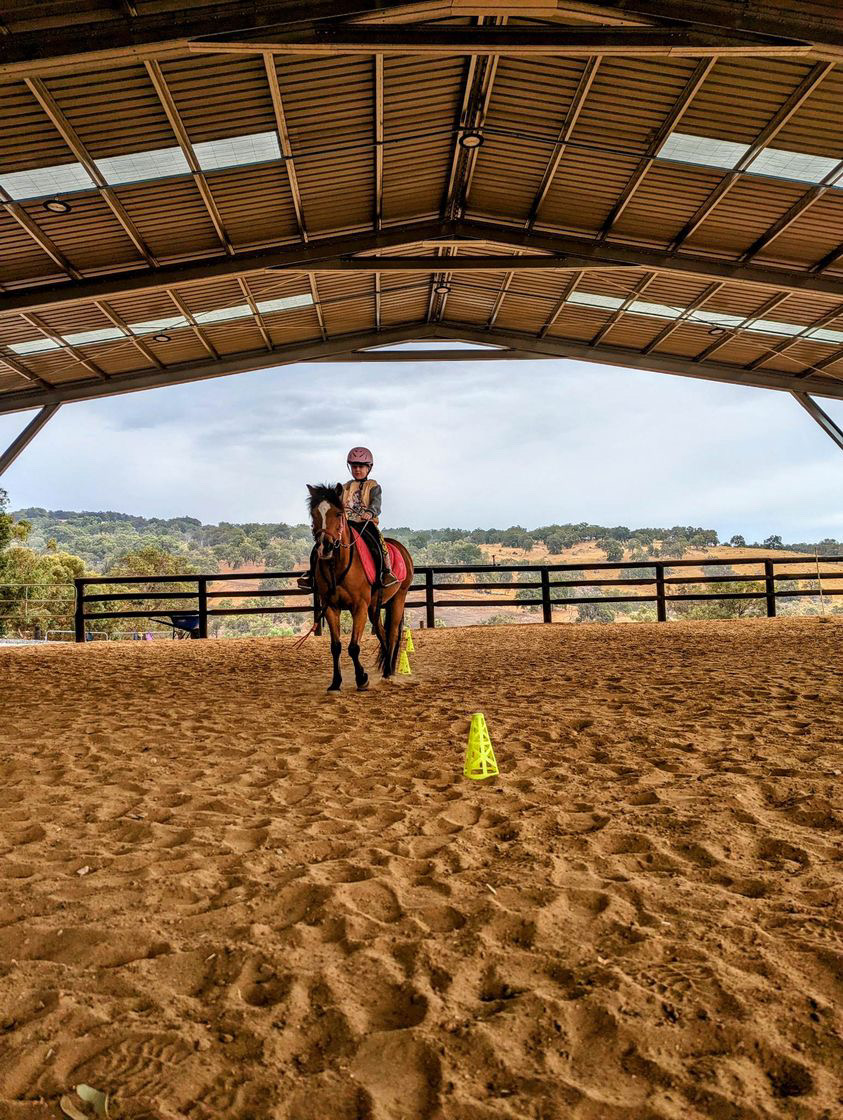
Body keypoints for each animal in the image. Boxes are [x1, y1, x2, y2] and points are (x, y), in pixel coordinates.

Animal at [306, 484, 415, 691]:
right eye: (314, 514)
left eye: (338, 513)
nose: (325, 547)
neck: (338, 566)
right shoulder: (331, 607)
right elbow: (336, 647)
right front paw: (335, 682)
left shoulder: (359, 607)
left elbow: (354, 647)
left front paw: (362, 678)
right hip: (374, 607)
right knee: (382, 633)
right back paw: (387, 669)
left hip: (398, 599)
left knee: (392, 634)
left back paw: (388, 673)